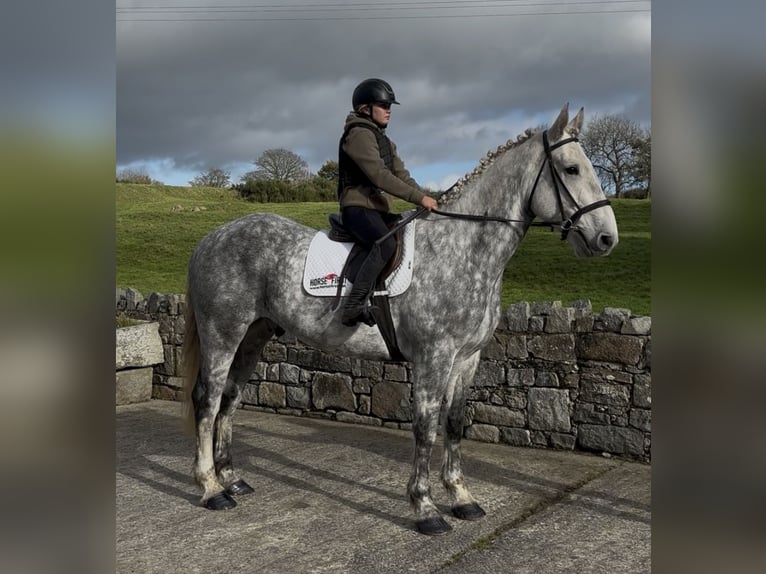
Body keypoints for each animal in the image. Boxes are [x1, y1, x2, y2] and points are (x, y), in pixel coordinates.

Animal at [183, 103, 618, 535]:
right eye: (571, 169)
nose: (606, 239)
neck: (462, 249)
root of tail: (211, 238)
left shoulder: (467, 359)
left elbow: (455, 423)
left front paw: (461, 497)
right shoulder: (433, 358)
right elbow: (425, 428)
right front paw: (425, 507)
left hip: (253, 337)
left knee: (230, 397)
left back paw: (232, 478)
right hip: (223, 334)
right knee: (207, 399)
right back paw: (211, 488)